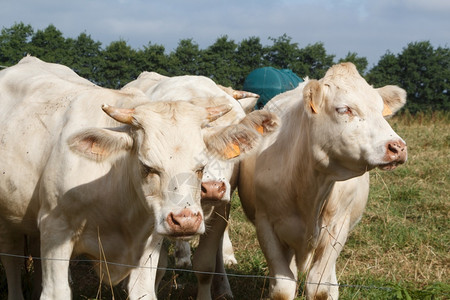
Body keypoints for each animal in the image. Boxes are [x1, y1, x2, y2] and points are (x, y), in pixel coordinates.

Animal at [239, 62, 408, 298]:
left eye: (380, 109)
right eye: (344, 109)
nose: (398, 147)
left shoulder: (337, 228)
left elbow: (319, 286)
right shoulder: (265, 225)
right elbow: (283, 287)